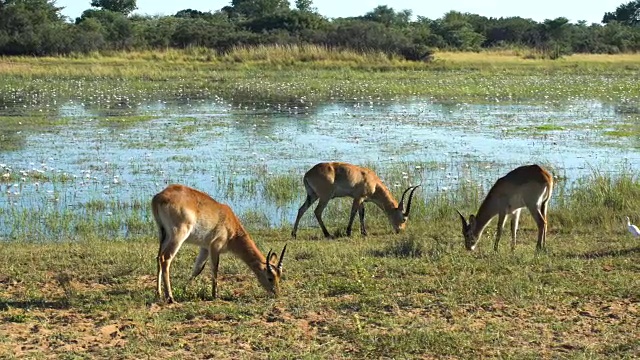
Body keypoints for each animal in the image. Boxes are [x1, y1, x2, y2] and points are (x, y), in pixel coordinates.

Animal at [151, 183, 286, 304]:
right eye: (270, 277)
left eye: (279, 276)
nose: (277, 293)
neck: (232, 228)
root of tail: (159, 197)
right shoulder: (215, 246)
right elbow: (215, 269)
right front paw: (214, 295)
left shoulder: (204, 248)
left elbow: (198, 268)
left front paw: (185, 289)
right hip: (178, 235)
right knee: (165, 258)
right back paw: (170, 298)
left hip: (163, 235)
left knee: (158, 258)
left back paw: (158, 294)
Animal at [290, 163, 420, 239]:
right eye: (404, 218)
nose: (400, 230)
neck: (373, 180)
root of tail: (307, 174)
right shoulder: (358, 198)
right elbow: (353, 213)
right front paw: (348, 232)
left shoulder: (362, 200)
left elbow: (362, 214)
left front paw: (364, 233)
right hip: (325, 197)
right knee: (317, 211)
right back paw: (327, 234)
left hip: (312, 196)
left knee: (301, 210)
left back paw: (294, 234)